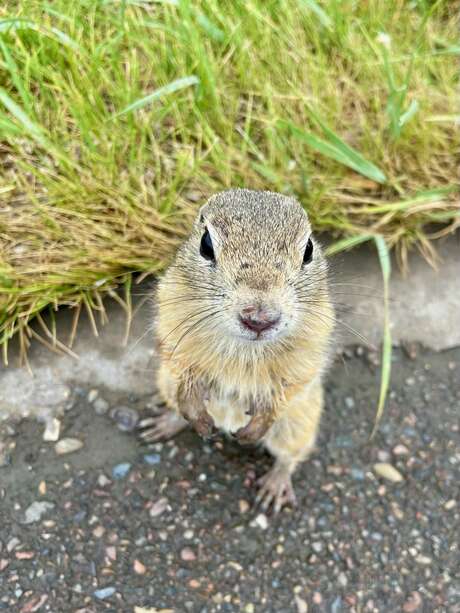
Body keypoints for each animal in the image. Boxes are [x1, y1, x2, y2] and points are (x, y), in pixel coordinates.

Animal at [139, 189, 335, 513]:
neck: (244, 346)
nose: (259, 319)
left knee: (289, 456)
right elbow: (182, 370)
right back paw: (166, 422)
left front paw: (258, 422)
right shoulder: (171, 328)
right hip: (163, 381)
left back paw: (274, 485)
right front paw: (194, 413)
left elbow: (289, 385)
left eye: (308, 249)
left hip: (298, 424)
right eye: (206, 245)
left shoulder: (309, 351)